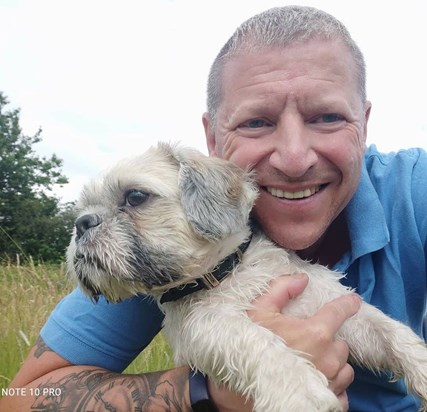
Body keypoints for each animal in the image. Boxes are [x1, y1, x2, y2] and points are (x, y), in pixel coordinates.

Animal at [67, 143, 427, 410]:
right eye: (83, 209)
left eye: (136, 197)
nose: (82, 223)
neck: (229, 273)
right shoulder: (205, 327)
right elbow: (256, 340)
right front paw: (299, 391)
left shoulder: (340, 310)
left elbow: (393, 333)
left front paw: (423, 368)